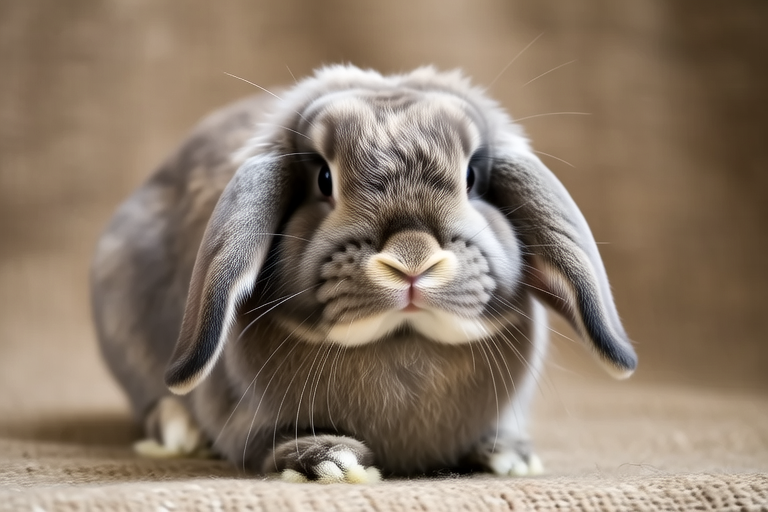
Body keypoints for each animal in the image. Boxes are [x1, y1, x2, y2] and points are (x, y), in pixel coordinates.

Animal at [91, 65, 637, 483]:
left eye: (472, 178)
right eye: (323, 179)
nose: (412, 259)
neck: (401, 339)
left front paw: (511, 456)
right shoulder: (242, 421)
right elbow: (263, 444)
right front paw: (329, 462)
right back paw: (177, 428)